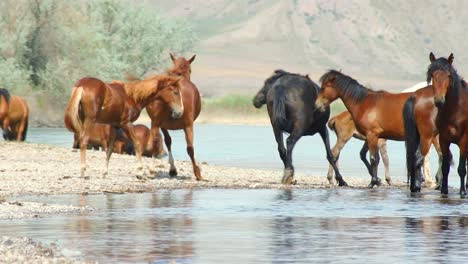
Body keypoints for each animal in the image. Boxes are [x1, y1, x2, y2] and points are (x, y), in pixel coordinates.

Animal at [146, 53, 203, 182]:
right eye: (190, 70)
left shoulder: (161, 124)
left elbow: (167, 141)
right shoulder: (184, 125)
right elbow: (170, 141)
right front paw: (173, 169)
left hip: (155, 123)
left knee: (156, 143)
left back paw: (151, 171)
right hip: (187, 125)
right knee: (190, 147)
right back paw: (197, 173)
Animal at [408, 53, 466, 194]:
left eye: (449, 75)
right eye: (432, 75)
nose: (439, 100)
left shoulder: (461, 139)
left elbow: (457, 167)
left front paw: (456, 191)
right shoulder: (445, 139)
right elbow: (450, 166)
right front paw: (448, 190)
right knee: (419, 157)